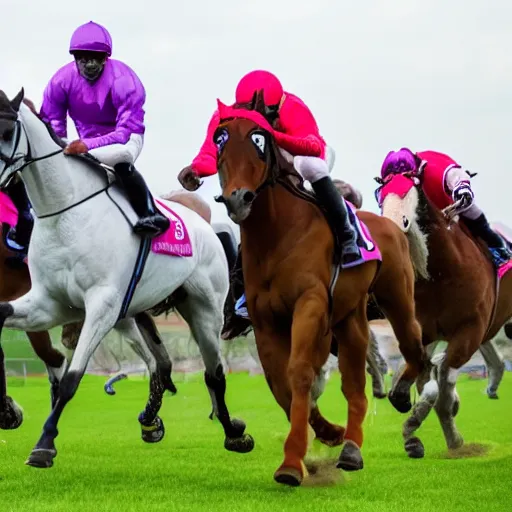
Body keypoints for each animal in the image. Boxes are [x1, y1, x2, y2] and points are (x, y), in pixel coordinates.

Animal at [0, 89, 254, 468]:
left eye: (5, 132)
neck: (65, 211)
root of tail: (206, 226)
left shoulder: (100, 305)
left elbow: (71, 378)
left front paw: (44, 443)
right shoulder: (49, 303)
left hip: (203, 311)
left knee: (214, 373)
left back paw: (233, 432)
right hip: (129, 313)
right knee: (157, 363)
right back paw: (152, 421)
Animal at [214, 94, 426, 486]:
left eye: (259, 139)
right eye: (219, 139)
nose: (238, 198)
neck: (276, 235)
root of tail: (388, 225)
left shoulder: (310, 304)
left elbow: (298, 373)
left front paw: (291, 463)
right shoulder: (265, 322)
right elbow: (280, 383)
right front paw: (326, 435)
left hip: (397, 300)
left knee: (411, 348)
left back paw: (395, 401)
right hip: (349, 319)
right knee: (356, 383)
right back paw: (351, 444)